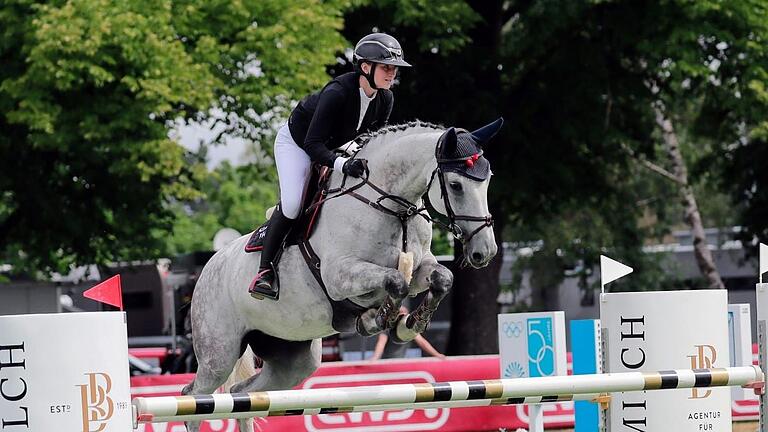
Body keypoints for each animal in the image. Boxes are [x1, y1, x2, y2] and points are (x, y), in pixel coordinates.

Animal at [181, 119, 504, 432]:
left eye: (489, 179)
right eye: (456, 185)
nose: (484, 252)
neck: (392, 208)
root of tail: (208, 268)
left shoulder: (420, 267)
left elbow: (441, 278)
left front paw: (409, 324)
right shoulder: (340, 276)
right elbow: (394, 281)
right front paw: (379, 318)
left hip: (293, 358)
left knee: (241, 395)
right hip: (218, 353)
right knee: (194, 397)